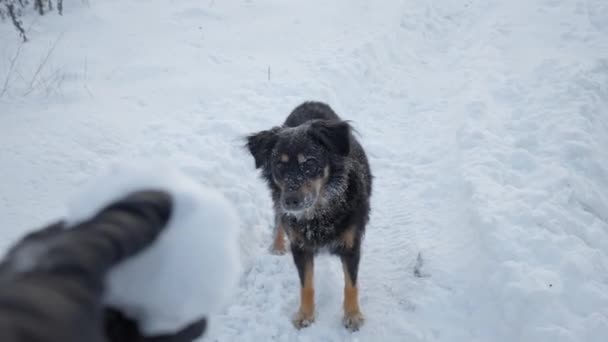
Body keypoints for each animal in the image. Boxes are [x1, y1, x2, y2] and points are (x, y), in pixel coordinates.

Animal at [246, 100, 370, 330]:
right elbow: (307, 284)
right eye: (279, 165)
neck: (319, 214)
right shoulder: (300, 246)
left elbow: (351, 284)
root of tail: (310, 102)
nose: (291, 201)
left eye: (310, 163)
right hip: (277, 200)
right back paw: (277, 245)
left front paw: (352, 315)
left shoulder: (351, 245)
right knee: (278, 220)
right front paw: (305, 314)